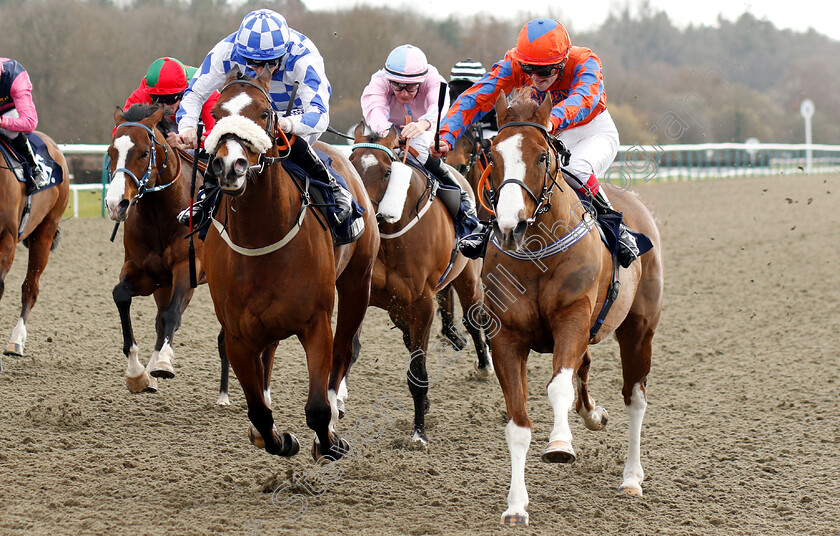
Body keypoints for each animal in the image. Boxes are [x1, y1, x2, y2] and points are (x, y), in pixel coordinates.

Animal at [105, 103, 230, 402]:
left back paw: (224, 394)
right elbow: (122, 295)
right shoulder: (144, 272)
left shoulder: (188, 267)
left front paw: (163, 363)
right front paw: (137, 373)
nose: (116, 204)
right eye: (111, 152)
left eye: (142, 152)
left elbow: (173, 314)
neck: (161, 212)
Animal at [202, 67, 376, 460]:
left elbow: (317, 408)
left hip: (358, 283)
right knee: (268, 356)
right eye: (216, 113)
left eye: (265, 113)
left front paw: (330, 442)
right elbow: (258, 410)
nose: (230, 165)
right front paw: (276, 438)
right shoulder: (237, 334)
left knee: (343, 350)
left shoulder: (315, 322)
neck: (261, 236)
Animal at [350, 124, 492, 444]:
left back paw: (484, 365)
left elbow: (418, 372)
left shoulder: (423, 303)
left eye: (387, 172)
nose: (364, 213)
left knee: (473, 318)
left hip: (468, 277)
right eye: (350, 165)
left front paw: (419, 433)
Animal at [482, 90, 668, 524]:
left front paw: (560, 445)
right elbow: (518, 422)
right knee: (586, 370)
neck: (535, 253)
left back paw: (631, 477)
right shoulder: (506, 337)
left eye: (541, 157)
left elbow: (558, 386)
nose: (510, 226)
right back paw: (594, 415)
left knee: (635, 398)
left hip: (639, 329)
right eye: (492, 156)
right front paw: (516, 505)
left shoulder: (573, 319)